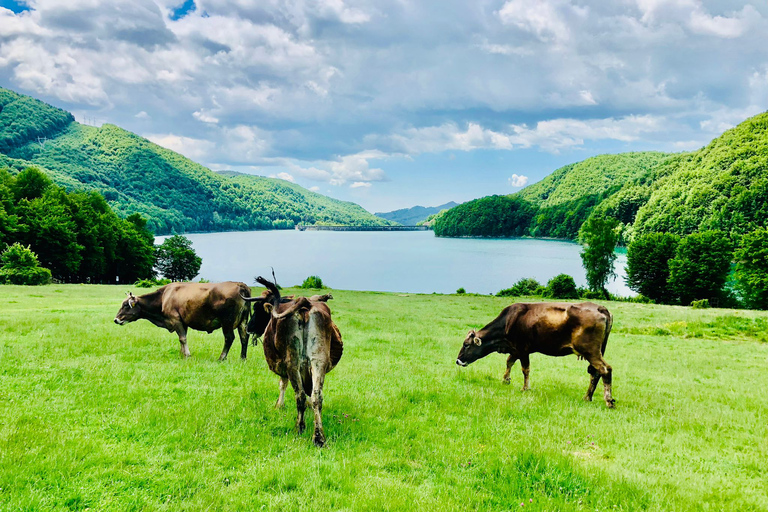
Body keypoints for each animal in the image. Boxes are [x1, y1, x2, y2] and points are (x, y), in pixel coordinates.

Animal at [113, 280, 252, 360]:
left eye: (126, 305)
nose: (116, 319)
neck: (164, 297)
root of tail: (240, 284)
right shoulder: (183, 322)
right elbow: (182, 338)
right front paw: (182, 353)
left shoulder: (175, 320)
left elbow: (182, 338)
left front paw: (187, 355)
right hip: (243, 321)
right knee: (244, 337)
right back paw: (243, 358)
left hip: (227, 322)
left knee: (229, 338)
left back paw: (222, 358)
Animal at [244, 276, 344, 448]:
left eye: (257, 309)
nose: (249, 327)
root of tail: (305, 304)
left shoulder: (282, 366)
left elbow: (282, 385)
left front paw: (279, 405)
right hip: (318, 361)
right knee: (317, 396)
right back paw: (319, 437)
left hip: (293, 363)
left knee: (300, 396)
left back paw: (299, 428)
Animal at [452, 300, 616, 408]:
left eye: (466, 345)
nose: (458, 361)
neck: (509, 321)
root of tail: (600, 307)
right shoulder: (515, 349)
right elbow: (509, 361)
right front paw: (506, 379)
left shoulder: (522, 349)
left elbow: (525, 369)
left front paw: (525, 388)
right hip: (597, 351)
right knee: (595, 373)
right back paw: (587, 397)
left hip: (590, 351)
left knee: (605, 369)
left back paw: (608, 401)